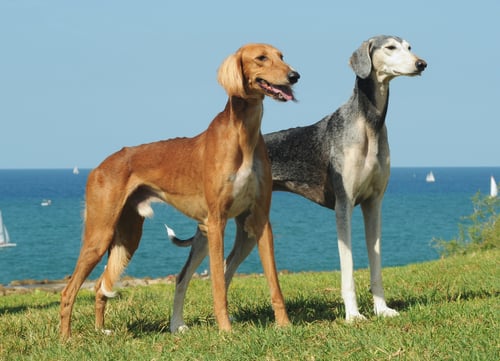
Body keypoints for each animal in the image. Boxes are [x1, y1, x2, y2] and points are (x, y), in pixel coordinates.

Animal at [59, 43, 300, 338]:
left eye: (282, 56)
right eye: (261, 58)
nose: (294, 76)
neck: (243, 135)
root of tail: (99, 166)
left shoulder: (260, 219)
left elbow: (274, 282)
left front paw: (284, 325)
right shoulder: (217, 222)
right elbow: (218, 285)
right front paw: (226, 330)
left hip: (130, 238)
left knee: (100, 286)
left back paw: (101, 330)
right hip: (100, 234)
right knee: (68, 291)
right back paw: (66, 338)